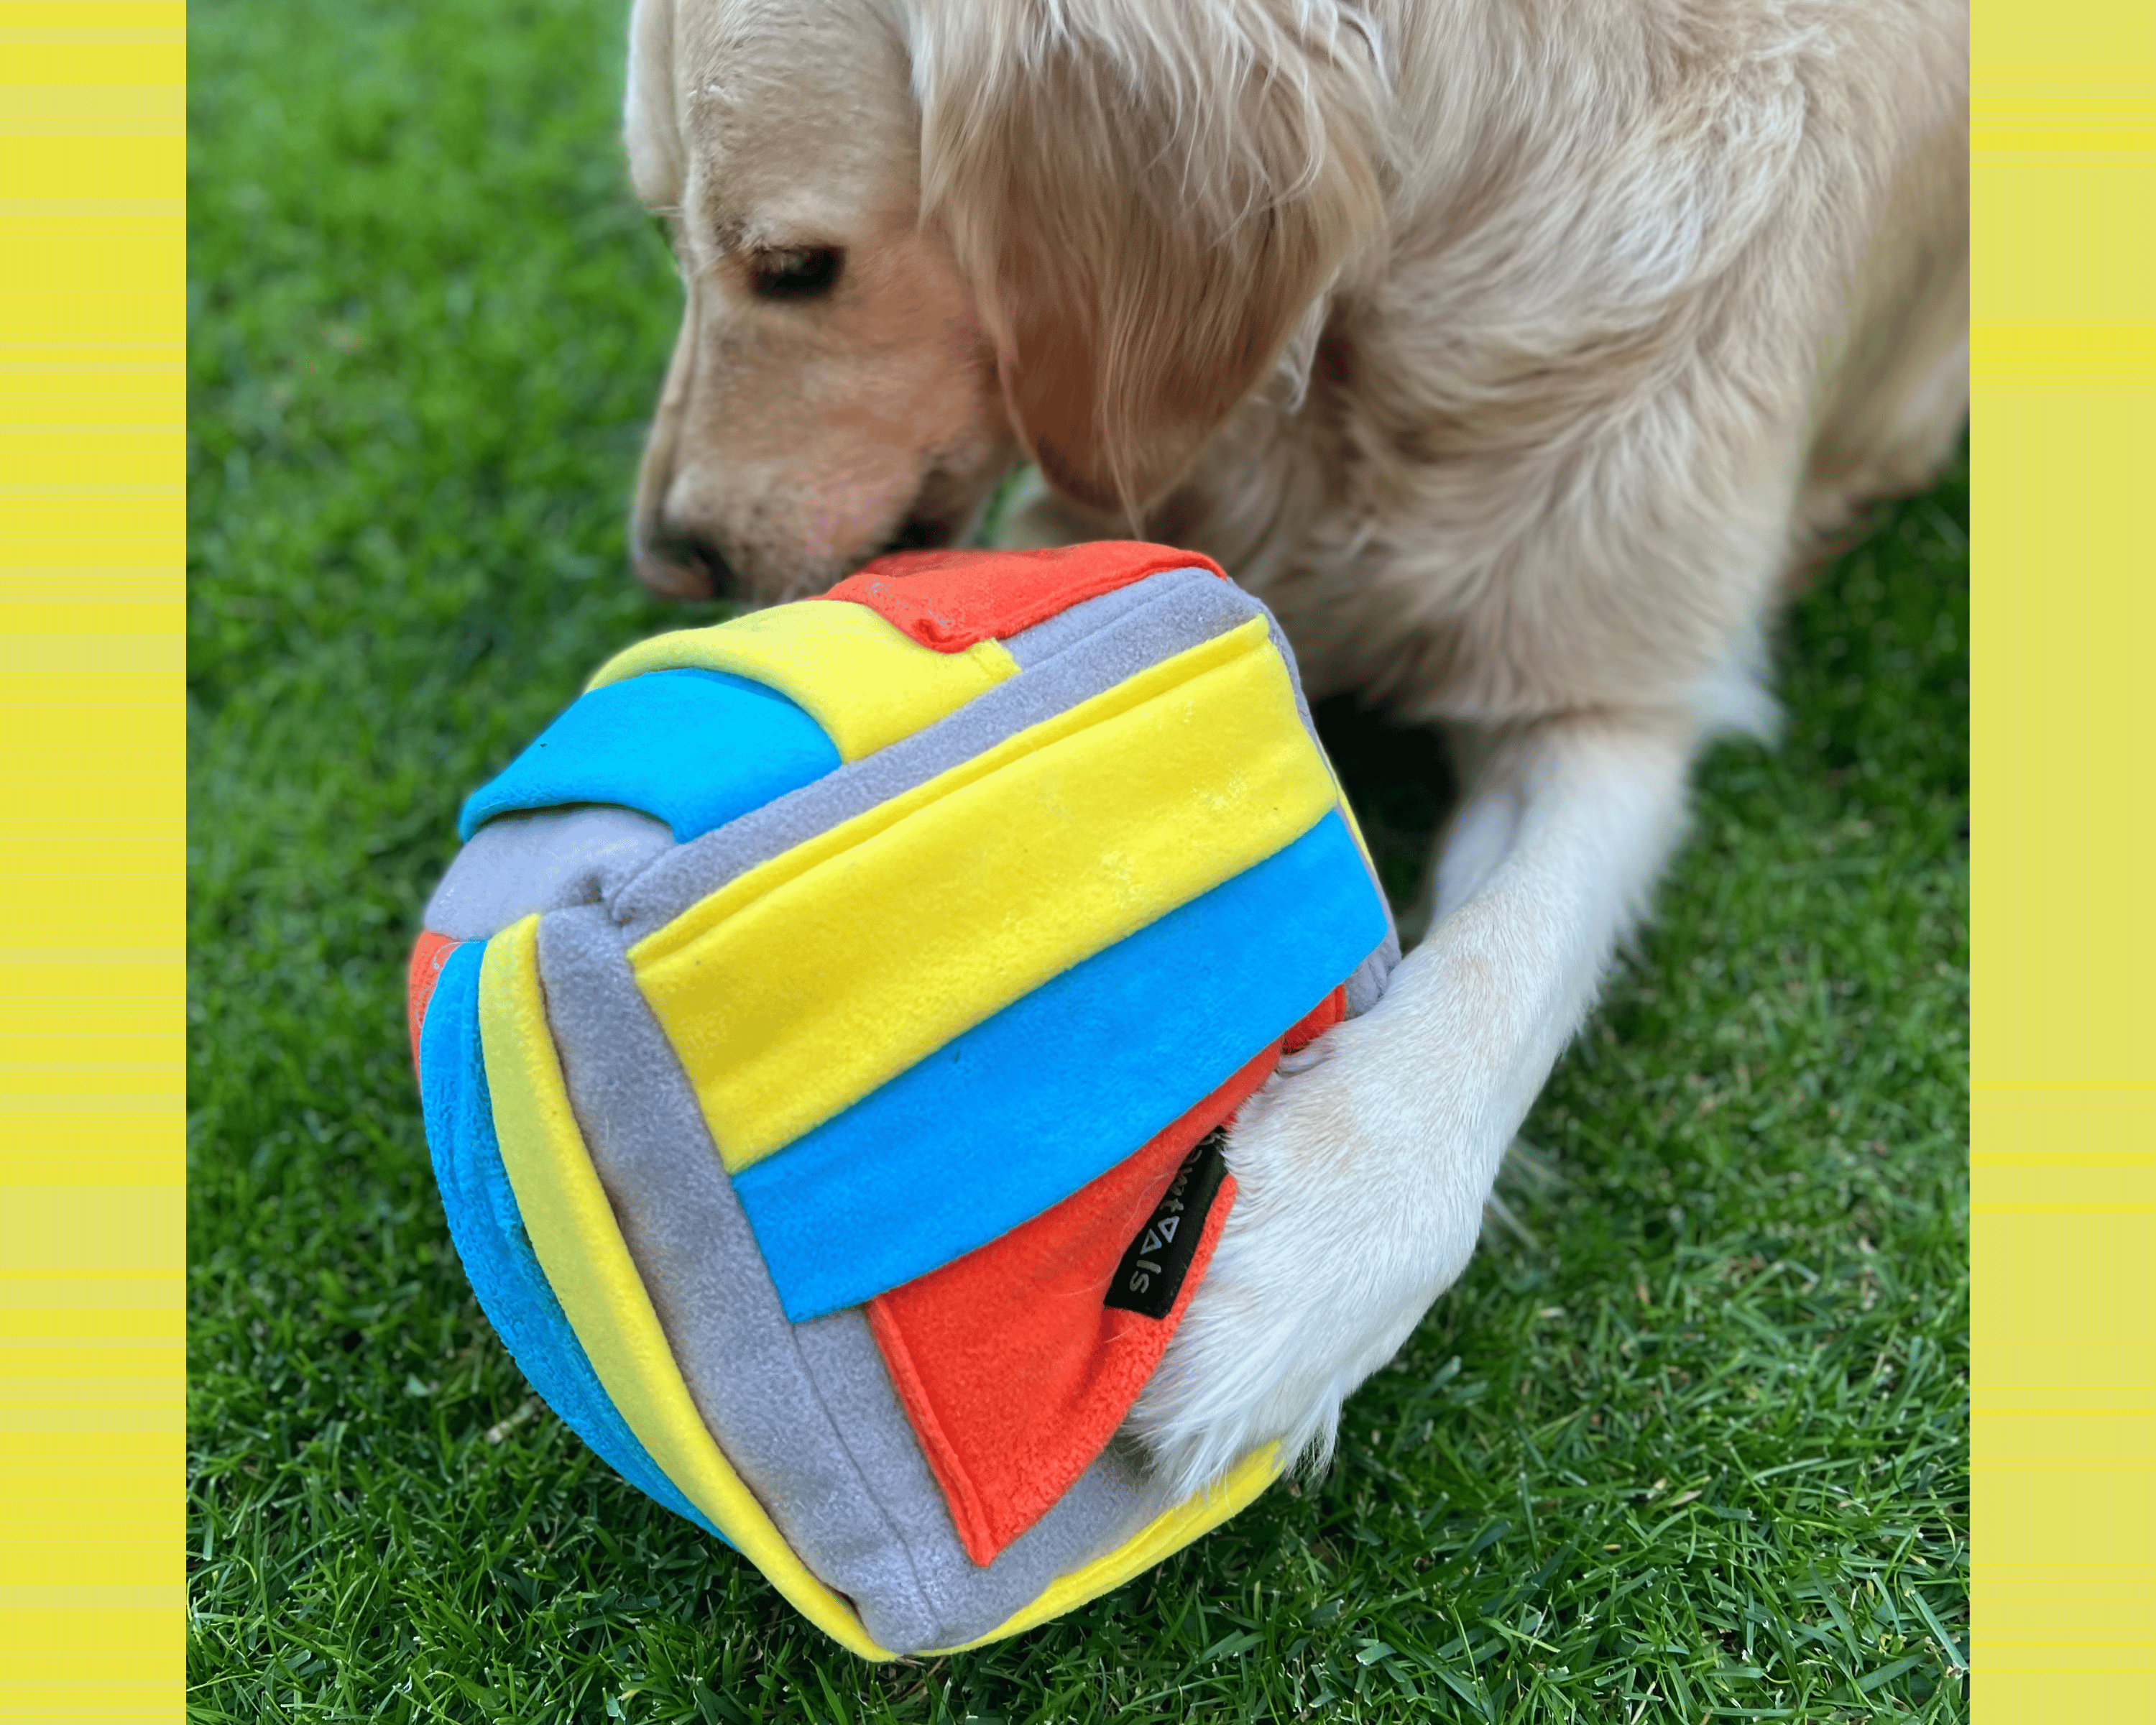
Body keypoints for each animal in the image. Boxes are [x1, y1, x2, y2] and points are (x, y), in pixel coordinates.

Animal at [617, 0, 1966, 1492]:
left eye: (794, 267)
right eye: (662, 230)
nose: (672, 558)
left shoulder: (1611, 688)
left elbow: (1517, 954)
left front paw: (1296, 1268)